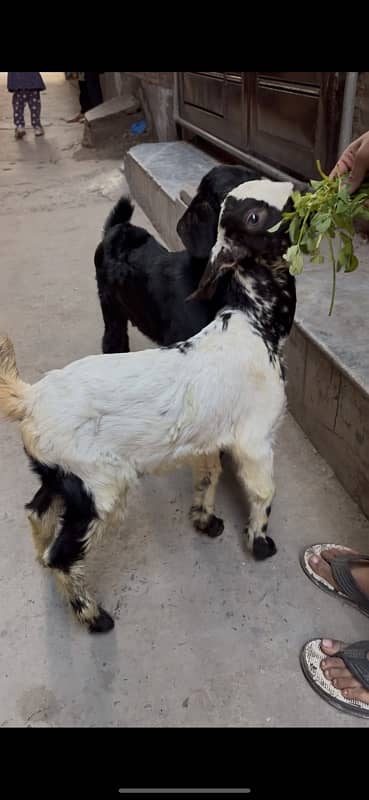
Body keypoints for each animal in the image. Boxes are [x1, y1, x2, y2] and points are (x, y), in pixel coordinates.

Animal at [0, 178, 294, 636]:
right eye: (255, 215)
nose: (297, 191)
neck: (253, 323)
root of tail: (28, 398)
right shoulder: (256, 439)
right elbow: (264, 490)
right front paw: (261, 544)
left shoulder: (209, 436)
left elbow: (208, 474)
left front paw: (205, 521)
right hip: (99, 486)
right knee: (63, 555)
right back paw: (94, 616)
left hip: (64, 473)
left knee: (36, 511)